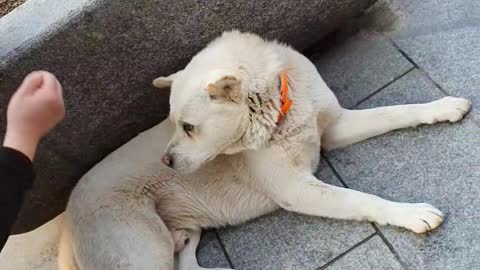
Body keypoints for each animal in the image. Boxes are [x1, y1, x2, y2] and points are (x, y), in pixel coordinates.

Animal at [55, 30, 468, 268]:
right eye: (173, 124)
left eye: (187, 127)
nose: (166, 161)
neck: (280, 109)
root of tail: (66, 221)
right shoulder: (297, 189)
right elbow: (360, 198)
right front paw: (410, 213)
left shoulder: (334, 127)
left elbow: (396, 111)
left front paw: (442, 107)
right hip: (145, 252)